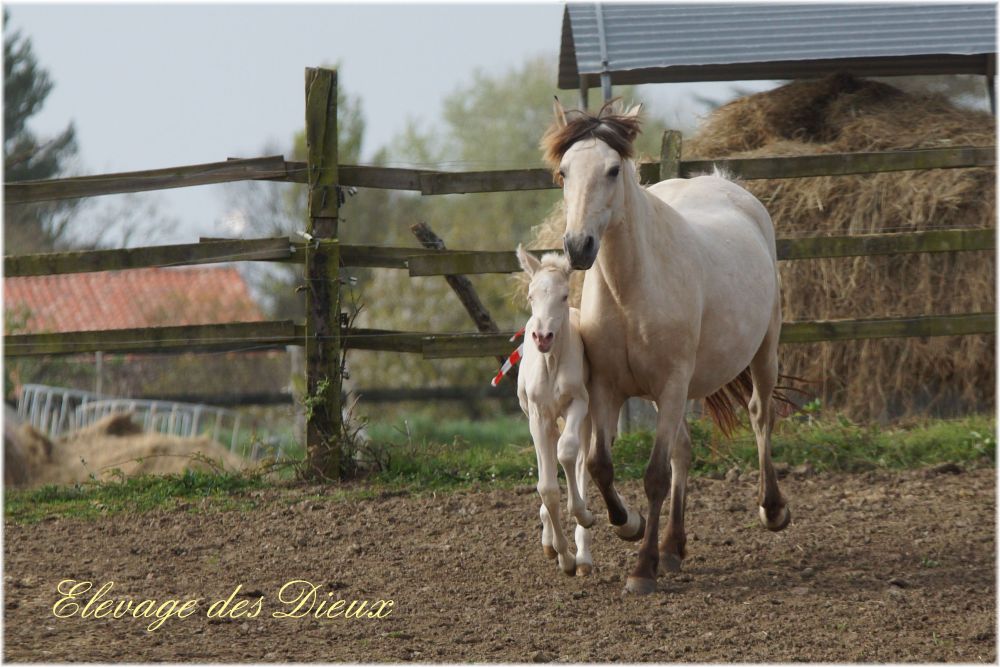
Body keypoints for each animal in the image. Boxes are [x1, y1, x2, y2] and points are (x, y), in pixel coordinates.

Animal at [541, 99, 791, 595]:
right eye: (563, 171)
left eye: (613, 169)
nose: (578, 246)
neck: (631, 289)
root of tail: (725, 184)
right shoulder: (608, 389)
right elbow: (600, 464)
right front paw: (629, 525)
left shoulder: (672, 384)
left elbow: (655, 475)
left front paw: (642, 570)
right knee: (684, 450)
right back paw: (673, 546)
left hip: (762, 351)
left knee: (760, 414)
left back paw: (772, 509)